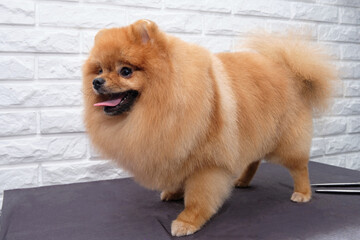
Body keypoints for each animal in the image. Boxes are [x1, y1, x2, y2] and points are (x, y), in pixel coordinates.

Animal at [83, 19, 336, 236]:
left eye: (125, 71)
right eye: (99, 70)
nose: (97, 82)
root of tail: (291, 73)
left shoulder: (208, 164)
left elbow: (198, 198)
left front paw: (187, 221)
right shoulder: (179, 148)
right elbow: (179, 177)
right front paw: (174, 192)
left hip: (285, 143)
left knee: (299, 167)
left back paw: (302, 193)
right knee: (254, 159)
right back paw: (243, 181)